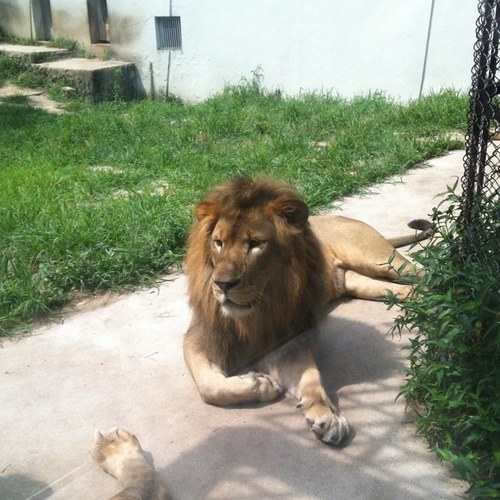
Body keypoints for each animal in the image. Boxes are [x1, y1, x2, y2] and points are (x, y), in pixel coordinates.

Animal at [184, 176, 430, 446]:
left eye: (255, 244)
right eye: (218, 243)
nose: (222, 285)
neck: (256, 311)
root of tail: (341, 217)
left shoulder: (289, 341)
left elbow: (311, 378)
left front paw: (327, 416)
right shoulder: (198, 338)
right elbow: (209, 387)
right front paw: (262, 385)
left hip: (378, 260)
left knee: (424, 272)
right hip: (361, 283)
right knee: (407, 290)